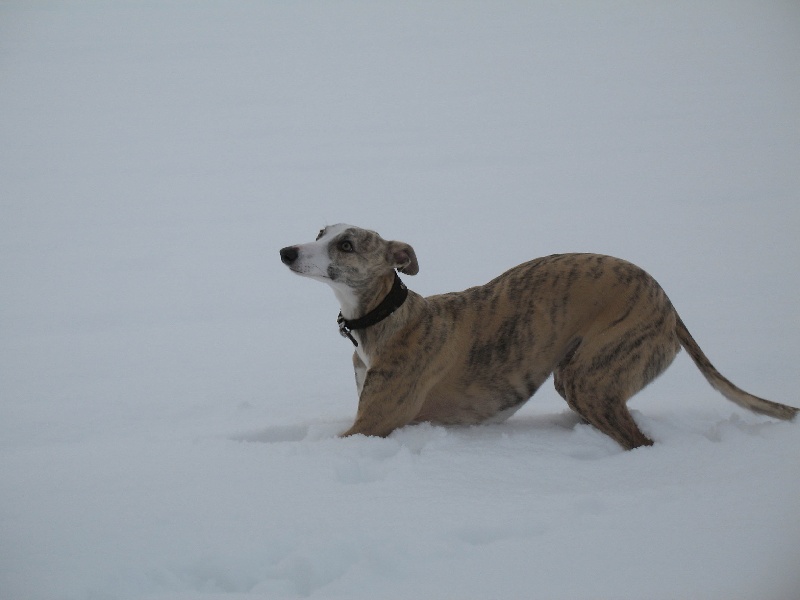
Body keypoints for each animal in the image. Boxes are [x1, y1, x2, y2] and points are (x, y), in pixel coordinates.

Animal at [279, 224, 797, 449]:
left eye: (346, 245)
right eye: (320, 230)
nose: (285, 251)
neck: (387, 316)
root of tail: (669, 306)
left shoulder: (372, 426)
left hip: (589, 373)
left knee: (638, 439)